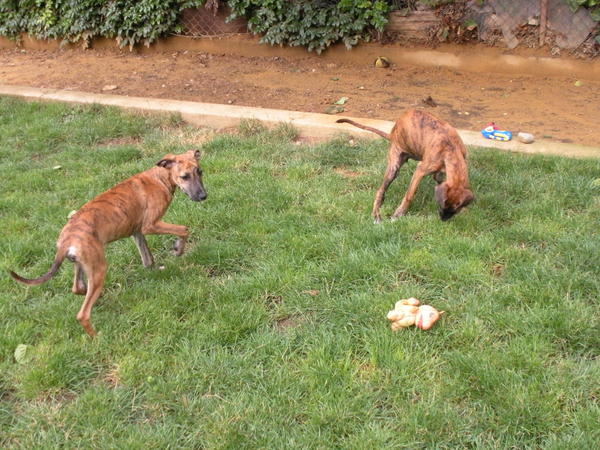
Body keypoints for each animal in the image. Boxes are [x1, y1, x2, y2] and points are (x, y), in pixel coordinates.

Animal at [7, 149, 206, 336]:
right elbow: (184, 229)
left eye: (200, 172)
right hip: (99, 267)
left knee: (79, 288)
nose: (203, 196)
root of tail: (66, 241)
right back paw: (97, 338)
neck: (159, 178)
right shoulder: (150, 225)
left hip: (83, 265)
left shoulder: (137, 232)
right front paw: (178, 249)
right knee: (83, 314)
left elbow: (148, 259)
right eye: (185, 176)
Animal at [338, 109, 474, 221]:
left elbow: (438, 179)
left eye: (455, 209)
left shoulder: (440, 173)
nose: (443, 219)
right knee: (380, 190)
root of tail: (393, 133)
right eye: (443, 206)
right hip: (394, 167)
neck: (451, 149)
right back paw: (376, 214)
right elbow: (410, 194)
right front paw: (399, 213)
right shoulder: (420, 170)